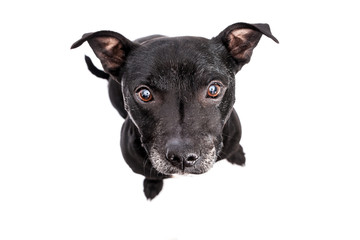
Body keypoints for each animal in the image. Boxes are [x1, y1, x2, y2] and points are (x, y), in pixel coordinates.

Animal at [70, 22, 278, 199]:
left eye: (213, 89)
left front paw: (237, 154)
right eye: (144, 94)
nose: (183, 158)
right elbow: (151, 176)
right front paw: (152, 185)